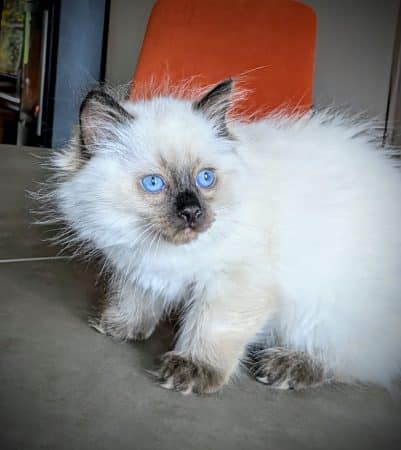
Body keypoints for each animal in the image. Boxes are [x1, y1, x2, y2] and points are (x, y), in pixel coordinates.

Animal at [45, 79, 400, 392]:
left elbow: (211, 328)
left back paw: (285, 365)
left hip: (327, 310)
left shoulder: (234, 282)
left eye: (205, 179)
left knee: (347, 361)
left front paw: (192, 369)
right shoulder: (136, 266)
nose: (191, 212)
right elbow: (135, 298)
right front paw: (120, 326)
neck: (164, 250)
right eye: (154, 183)